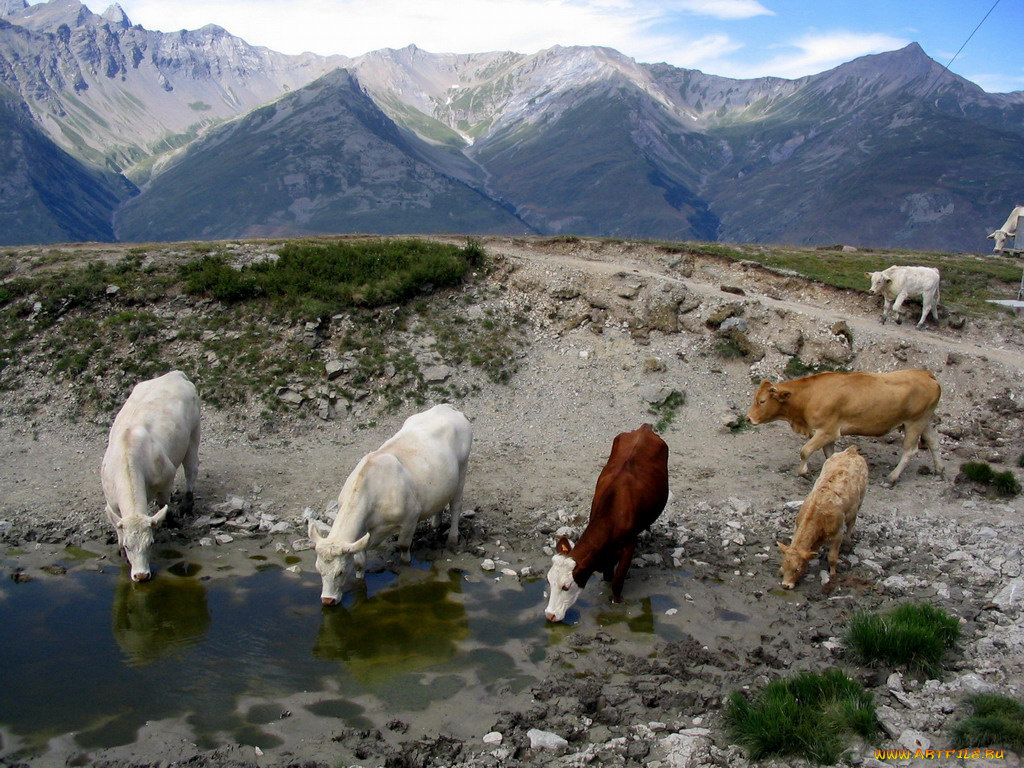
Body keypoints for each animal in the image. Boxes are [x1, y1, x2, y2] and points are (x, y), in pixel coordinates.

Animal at [100, 372, 200, 581]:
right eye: (128, 545)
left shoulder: (167, 477)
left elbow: (164, 504)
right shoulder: (111, 501)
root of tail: (175, 374)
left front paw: (170, 521)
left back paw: (187, 504)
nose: (141, 576)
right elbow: (117, 524)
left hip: (194, 432)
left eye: (151, 543)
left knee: (191, 468)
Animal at [309, 403, 473, 606]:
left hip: (462, 471)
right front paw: (360, 580)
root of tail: (447, 407)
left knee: (456, 505)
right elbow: (359, 561)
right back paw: (436, 523)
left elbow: (403, 545)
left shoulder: (411, 516)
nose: (327, 600)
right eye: (318, 569)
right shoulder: (361, 533)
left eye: (339, 572)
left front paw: (406, 564)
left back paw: (452, 538)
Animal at [544, 428, 671, 626]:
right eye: (549, 581)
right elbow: (607, 575)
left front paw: (616, 604)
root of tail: (644, 428)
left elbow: (617, 581)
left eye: (566, 586)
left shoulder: (629, 545)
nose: (550, 615)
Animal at [745, 368, 942, 487]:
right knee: (934, 442)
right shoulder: (826, 435)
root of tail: (925, 373)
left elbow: (805, 451)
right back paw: (939, 470)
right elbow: (830, 456)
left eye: (762, 401)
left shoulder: (827, 431)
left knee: (910, 450)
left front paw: (805, 473)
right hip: (925, 421)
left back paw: (891, 478)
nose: (748, 418)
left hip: (915, 422)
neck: (809, 396)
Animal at [778, 444, 868, 589]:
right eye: (784, 564)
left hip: (859, 502)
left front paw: (832, 575)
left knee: (851, 523)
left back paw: (848, 541)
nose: (786, 585)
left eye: (797, 569)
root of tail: (851, 451)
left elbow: (832, 557)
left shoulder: (837, 534)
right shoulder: (797, 526)